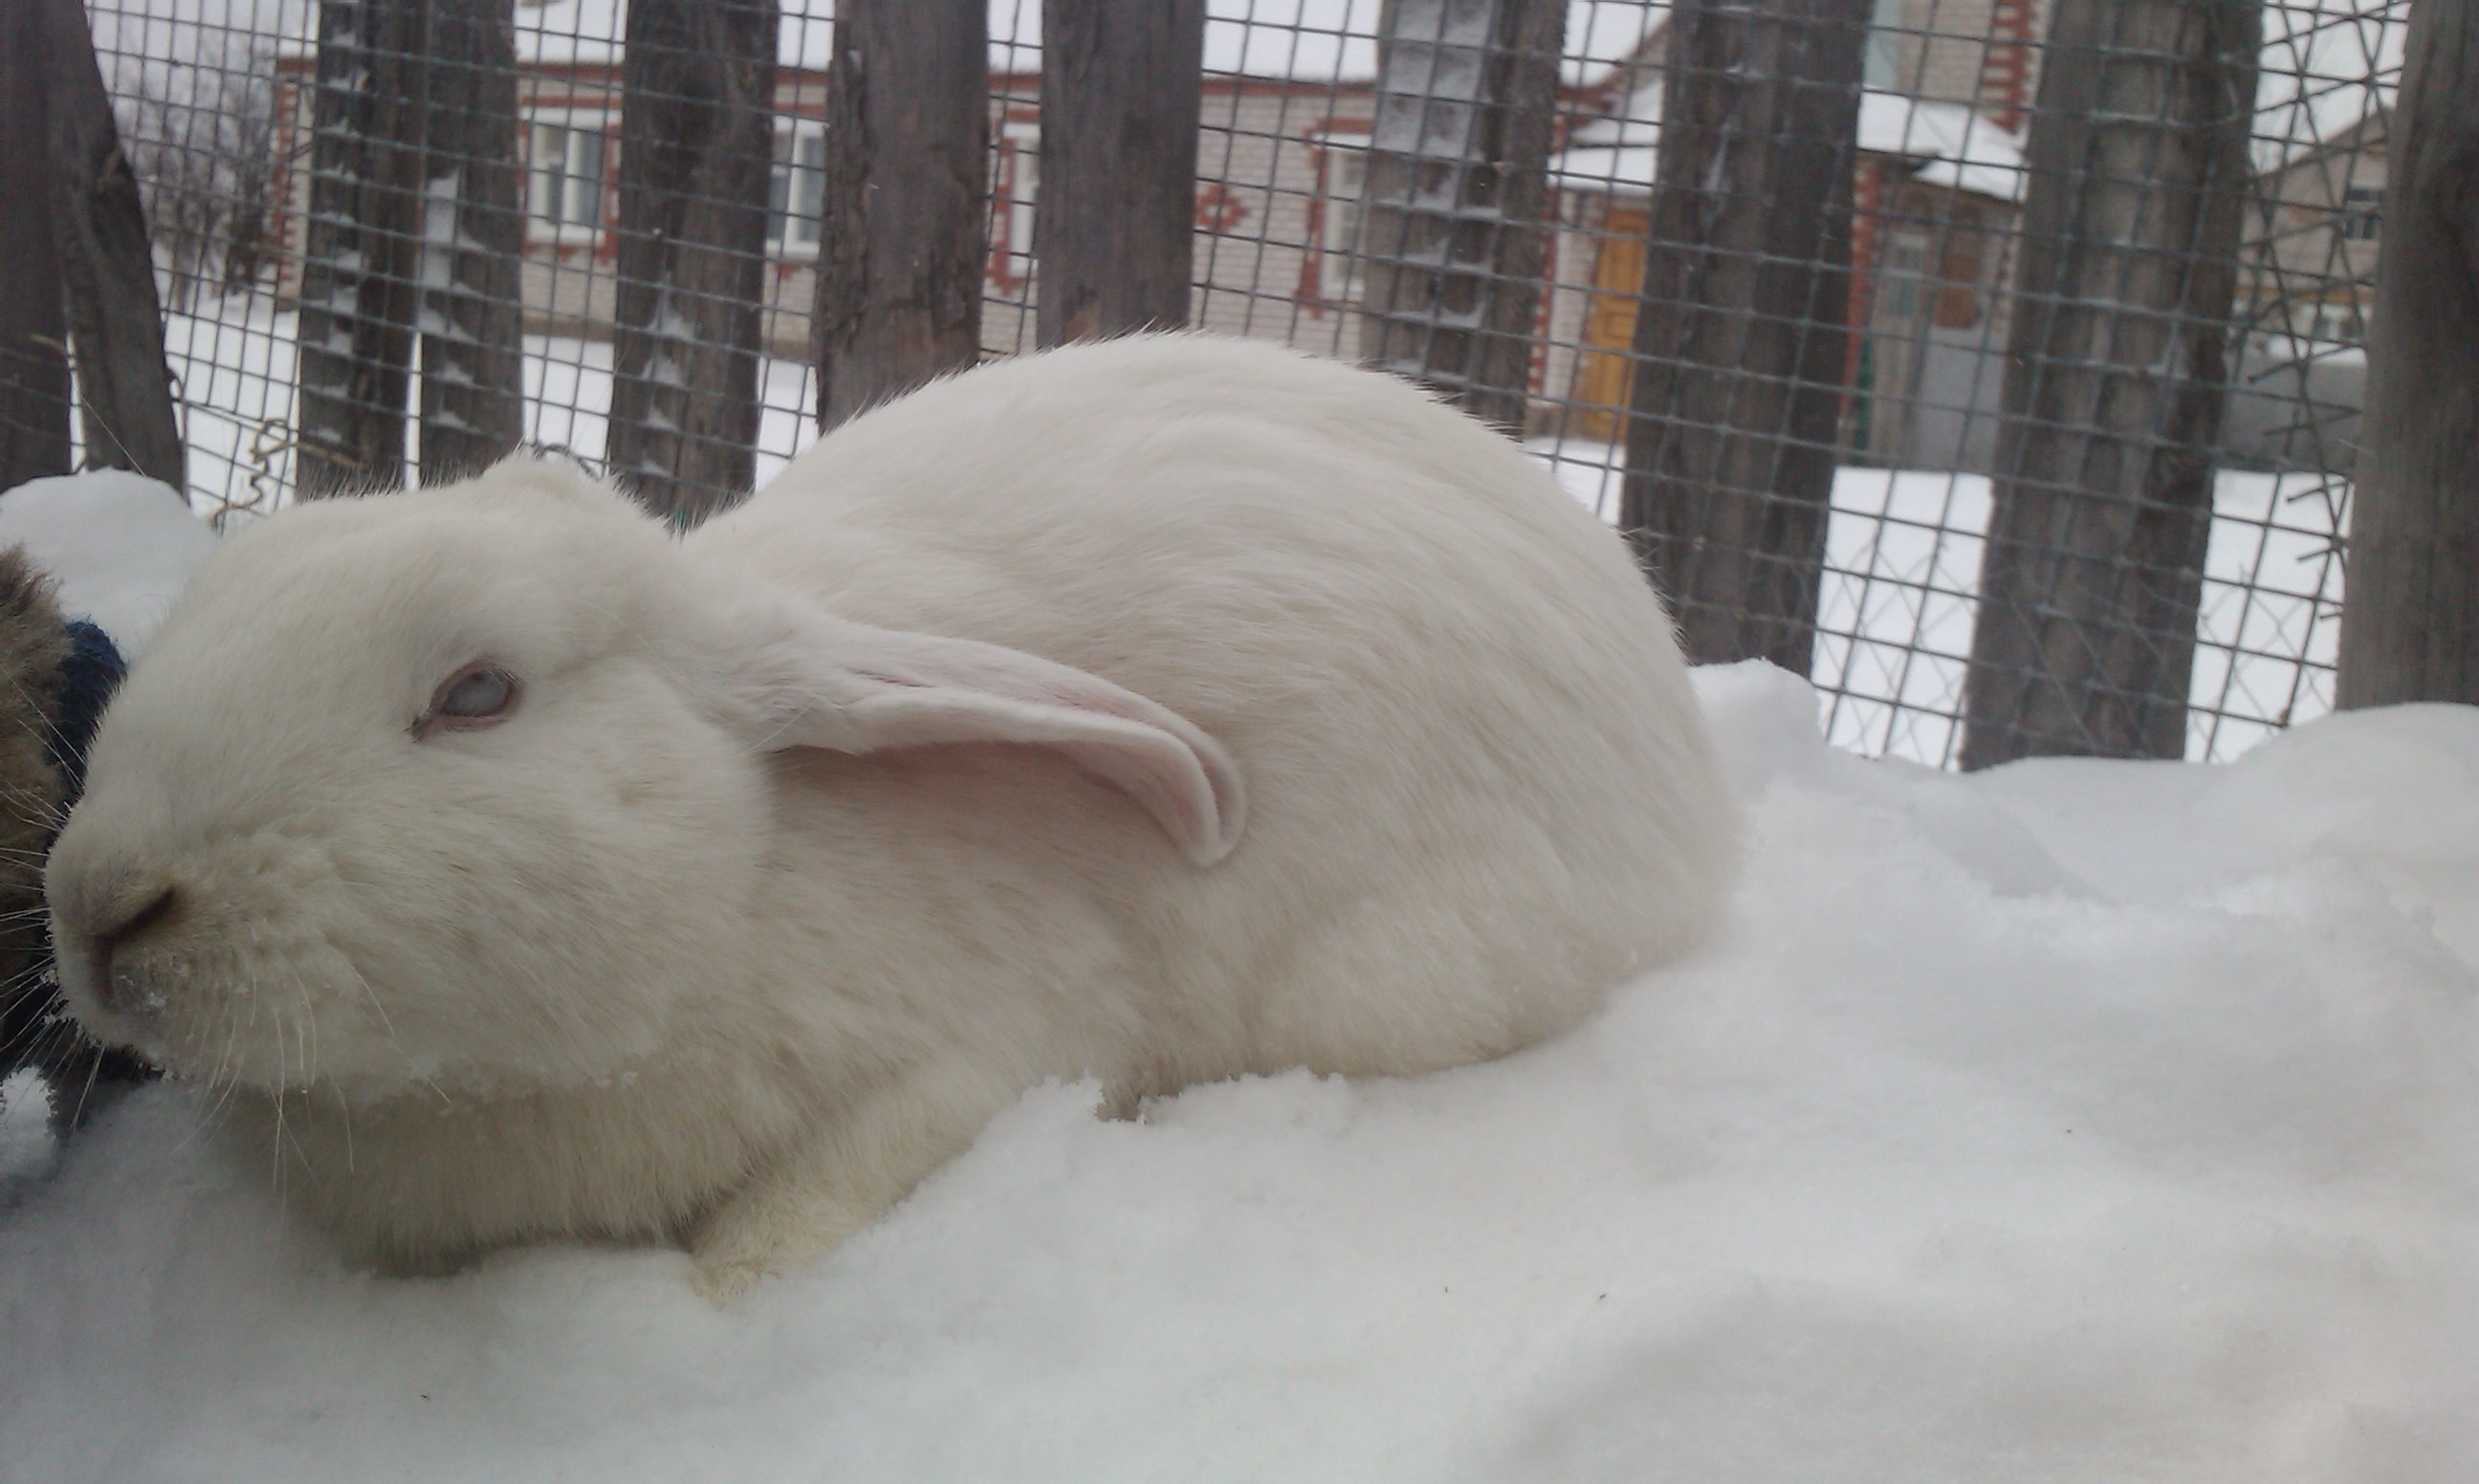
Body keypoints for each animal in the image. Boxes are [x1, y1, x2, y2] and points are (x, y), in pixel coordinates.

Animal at [46, 333, 1741, 1298]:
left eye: (477, 694)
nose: (101, 906)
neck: (741, 875)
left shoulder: (986, 1054)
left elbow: (779, 1235)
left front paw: (725, 1288)